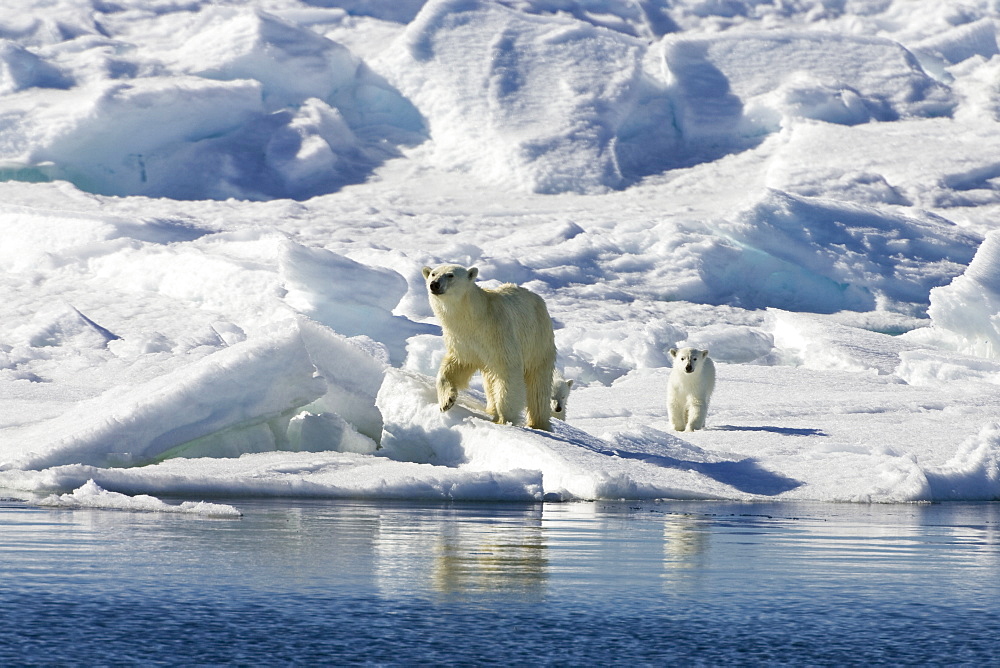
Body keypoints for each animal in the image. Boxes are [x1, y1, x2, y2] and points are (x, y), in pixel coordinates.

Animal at [420, 264, 556, 430]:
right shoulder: (462, 340)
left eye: (450, 275)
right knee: (490, 379)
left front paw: (503, 420)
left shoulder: (498, 332)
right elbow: (456, 365)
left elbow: (507, 371)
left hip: (538, 340)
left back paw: (538, 423)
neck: (475, 317)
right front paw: (447, 402)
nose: (434, 285)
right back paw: (491, 408)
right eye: (433, 274)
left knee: (538, 384)